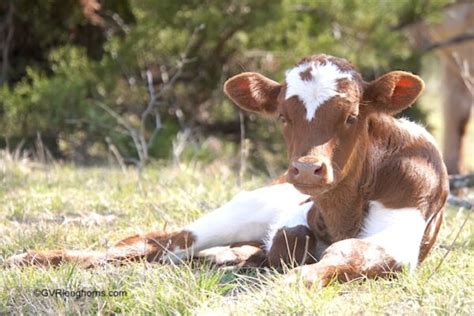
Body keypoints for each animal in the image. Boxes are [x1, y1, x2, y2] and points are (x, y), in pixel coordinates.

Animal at [5, 55, 446, 288]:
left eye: (353, 116)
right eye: (283, 116)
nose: (306, 170)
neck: (343, 211)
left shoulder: (401, 234)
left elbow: (348, 252)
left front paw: (289, 279)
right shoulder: (295, 212)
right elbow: (299, 237)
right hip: (246, 206)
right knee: (162, 241)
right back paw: (32, 258)